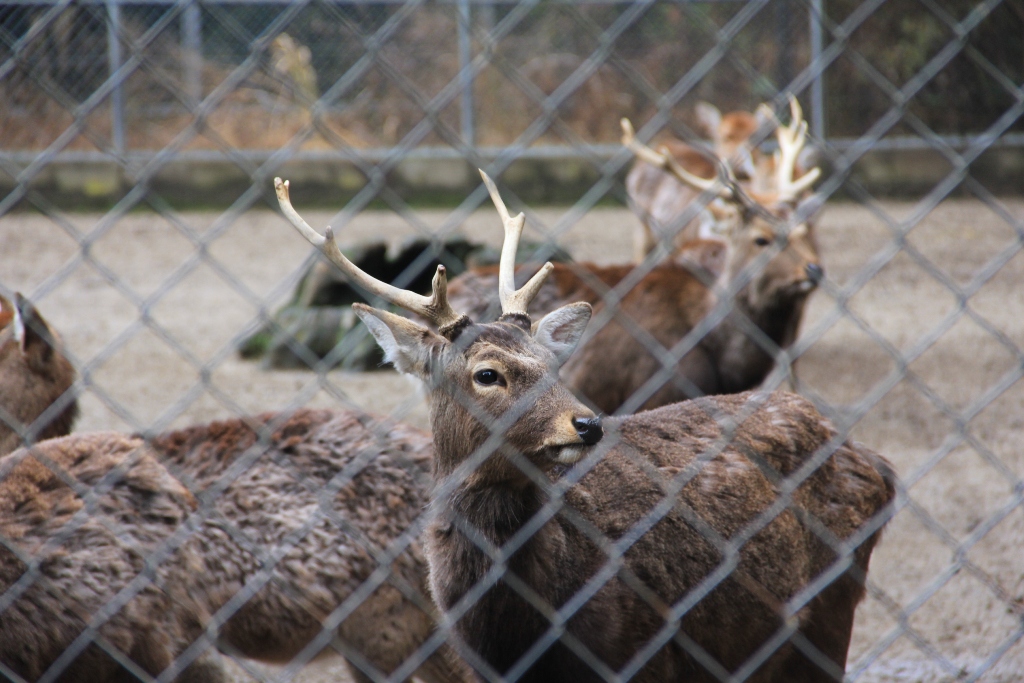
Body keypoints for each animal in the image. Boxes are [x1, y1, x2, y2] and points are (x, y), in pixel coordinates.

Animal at [274, 175, 897, 683]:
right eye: (486, 373)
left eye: (554, 365)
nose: (587, 423)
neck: (517, 636)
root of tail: (879, 466)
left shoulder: (641, 656)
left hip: (830, 615)